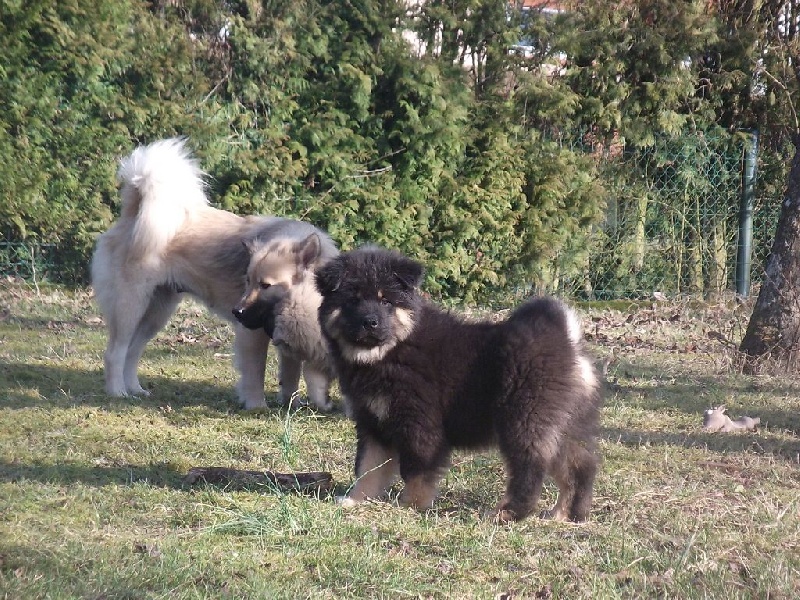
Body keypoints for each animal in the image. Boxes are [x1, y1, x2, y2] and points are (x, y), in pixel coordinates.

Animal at [316, 246, 604, 524]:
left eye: (386, 301)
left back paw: (509, 513)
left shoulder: (419, 423)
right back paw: (568, 515)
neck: (389, 350)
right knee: (579, 467)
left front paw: (412, 505)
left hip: (524, 419)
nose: (370, 322)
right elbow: (367, 468)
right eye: (353, 301)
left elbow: (416, 470)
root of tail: (567, 341)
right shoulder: (373, 423)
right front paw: (355, 500)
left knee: (530, 469)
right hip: (566, 425)